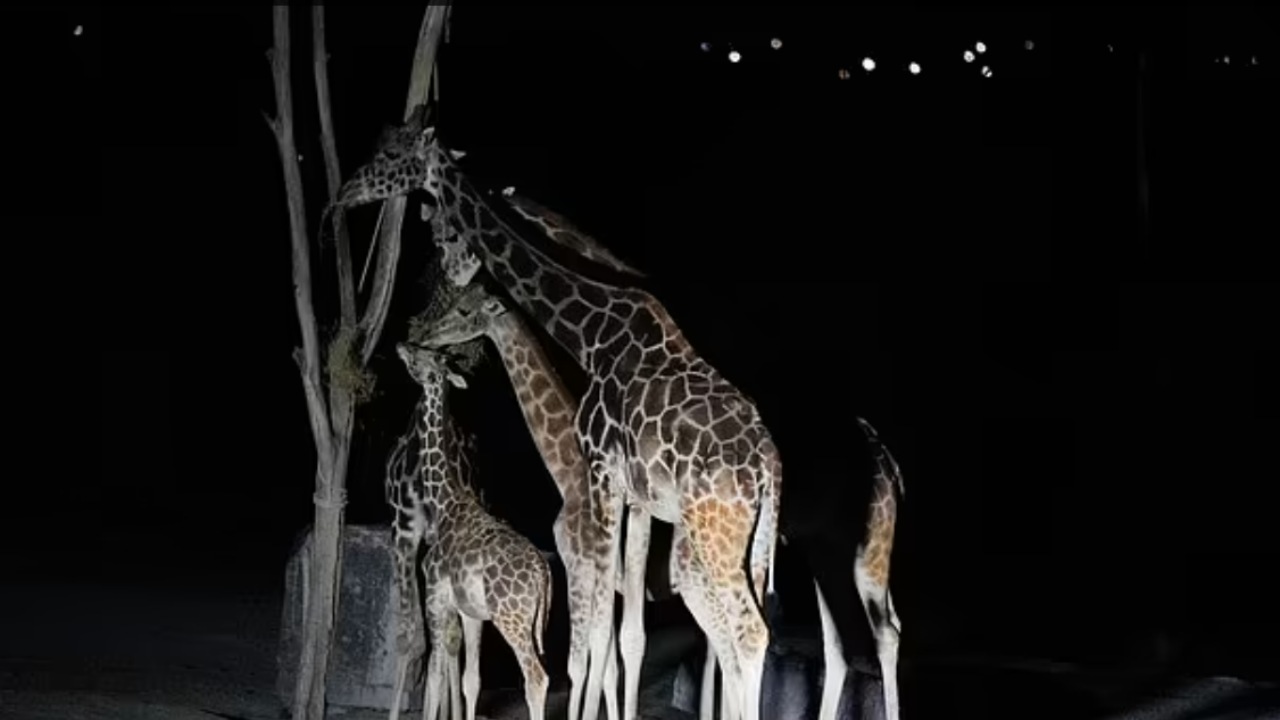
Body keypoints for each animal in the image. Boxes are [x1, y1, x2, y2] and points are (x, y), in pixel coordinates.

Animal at [396, 340, 552, 717]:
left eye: (424, 357)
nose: (401, 345)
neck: (443, 500)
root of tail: (543, 572)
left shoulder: (435, 598)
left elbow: (434, 677)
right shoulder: (471, 613)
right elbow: (471, 681)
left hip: (511, 617)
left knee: (536, 678)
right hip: (528, 620)